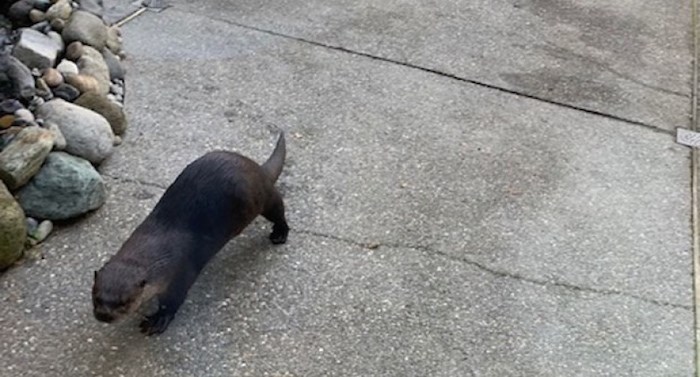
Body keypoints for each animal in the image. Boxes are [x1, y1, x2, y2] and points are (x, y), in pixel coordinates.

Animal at [93, 133, 290, 334]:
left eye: (124, 302)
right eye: (96, 297)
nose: (103, 315)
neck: (156, 245)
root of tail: (256, 167)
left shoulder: (181, 273)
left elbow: (173, 300)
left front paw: (159, 319)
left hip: (260, 195)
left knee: (278, 208)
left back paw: (280, 234)